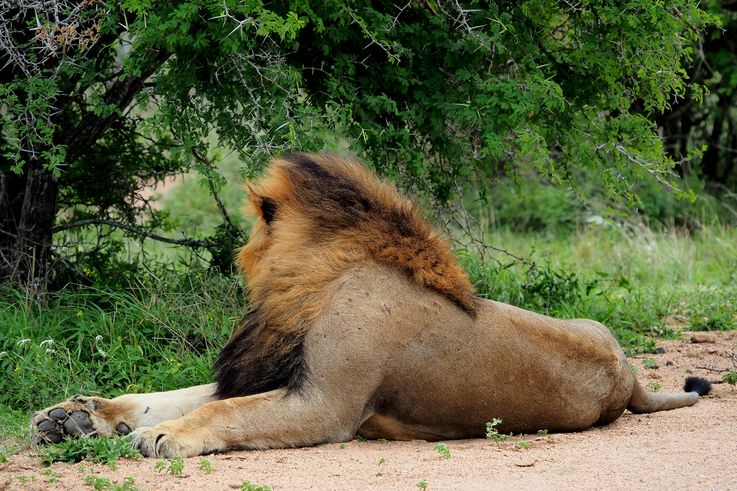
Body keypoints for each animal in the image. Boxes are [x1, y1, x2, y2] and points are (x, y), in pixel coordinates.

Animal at [32, 153, 711, 457]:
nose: (240, 255)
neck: (315, 283)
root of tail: (627, 376)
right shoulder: (271, 375)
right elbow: (161, 396)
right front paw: (74, 416)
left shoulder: (325, 405)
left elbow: (217, 413)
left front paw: (166, 435)